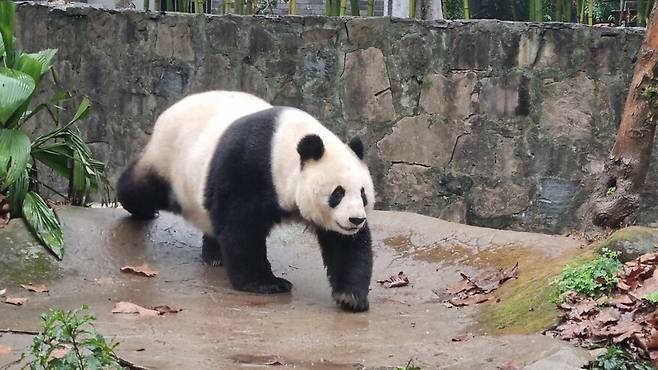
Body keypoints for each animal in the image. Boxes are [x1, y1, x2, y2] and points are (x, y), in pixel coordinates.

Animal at [116, 90, 374, 312]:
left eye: (363, 194)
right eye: (337, 193)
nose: (355, 219)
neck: (283, 146)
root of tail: (167, 112)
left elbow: (345, 244)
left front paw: (350, 296)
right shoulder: (250, 167)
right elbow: (240, 225)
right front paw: (267, 283)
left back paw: (215, 255)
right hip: (170, 162)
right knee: (142, 188)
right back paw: (139, 208)